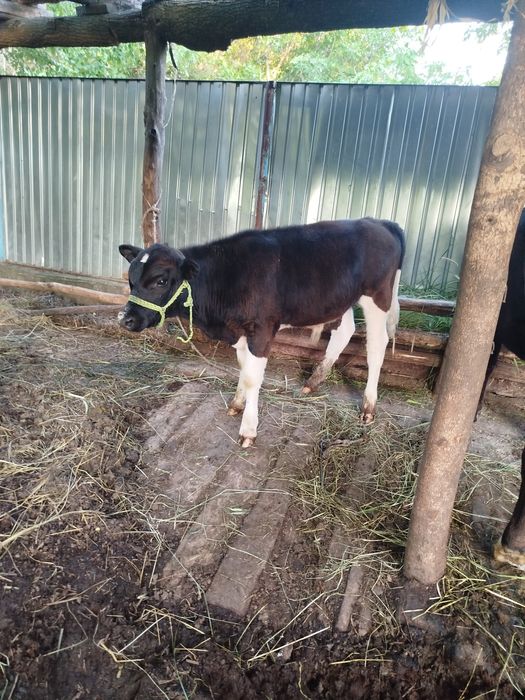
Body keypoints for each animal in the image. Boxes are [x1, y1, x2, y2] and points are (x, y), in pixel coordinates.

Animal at [118, 218, 405, 448]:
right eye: (131, 280)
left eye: (161, 280)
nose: (125, 318)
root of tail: (377, 222)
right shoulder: (240, 331)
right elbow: (243, 368)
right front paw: (237, 404)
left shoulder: (262, 330)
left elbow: (252, 377)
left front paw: (248, 429)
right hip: (340, 300)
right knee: (345, 331)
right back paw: (312, 382)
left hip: (377, 296)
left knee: (377, 346)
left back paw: (368, 407)